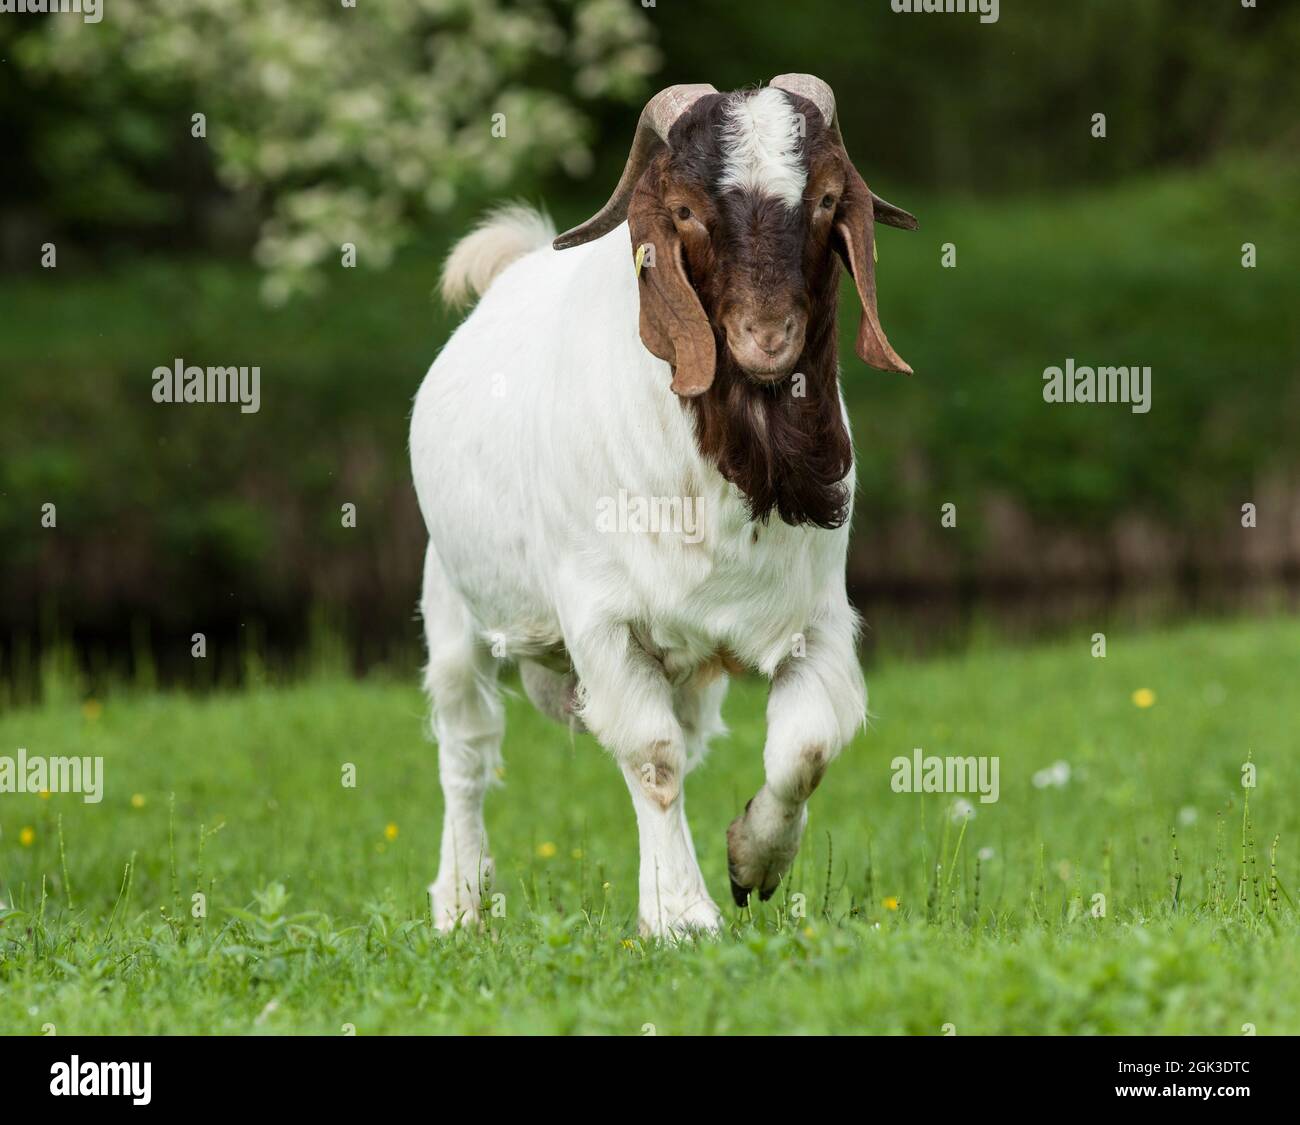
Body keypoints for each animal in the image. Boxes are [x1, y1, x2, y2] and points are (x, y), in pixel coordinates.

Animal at [410, 74, 920, 936]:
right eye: (683, 209)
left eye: (823, 199)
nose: (767, 338)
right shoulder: (601, 619)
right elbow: (651, 757)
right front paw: (681, 914)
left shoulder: (818, 616)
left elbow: (805, 749)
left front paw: (751, 860)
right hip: (451, 598)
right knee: (465, 750)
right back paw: (462, 902)